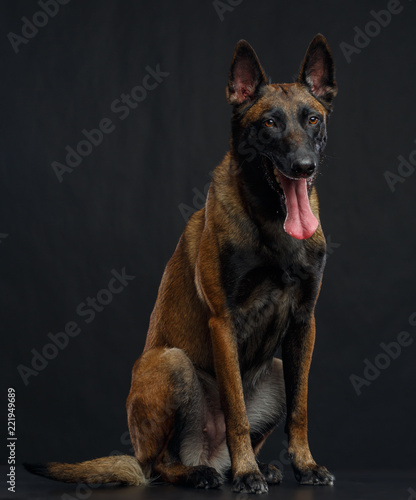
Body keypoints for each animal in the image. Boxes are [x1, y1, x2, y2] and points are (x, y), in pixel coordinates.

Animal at [25, 34, 338, 492]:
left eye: (312, 119)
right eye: (270, 124)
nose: (303, 167)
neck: (271, 221)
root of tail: (209, 453)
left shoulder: (304, 323)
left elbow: (300, 409)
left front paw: (304, 465)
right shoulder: (223, 322)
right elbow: (236, 409)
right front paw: (248, 474)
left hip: (278, 370)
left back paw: (256, 466)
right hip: (169, 363)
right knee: (156, 466)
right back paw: (205, 472)